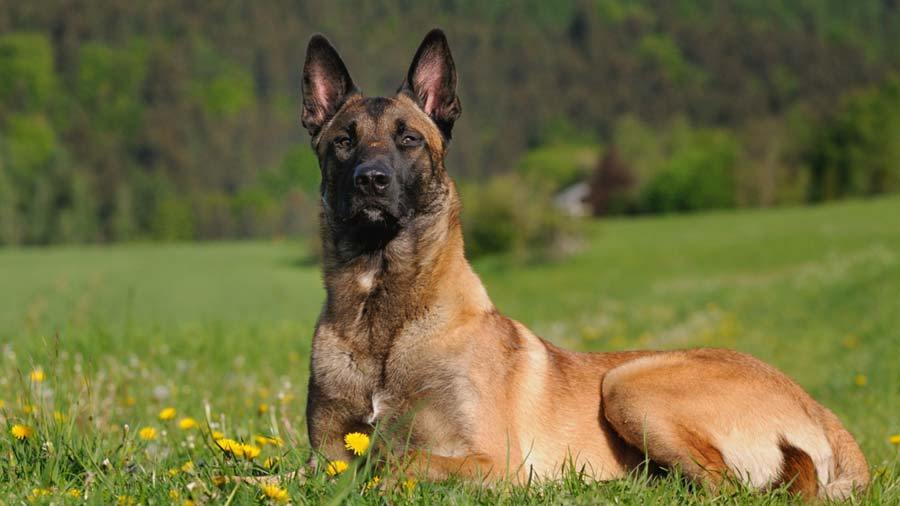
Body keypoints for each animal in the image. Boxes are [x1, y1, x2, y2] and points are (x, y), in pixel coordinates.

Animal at [298, 28, 868, 498]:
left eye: (409, 138)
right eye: (344, 141)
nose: (371, 181)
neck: (384, 315)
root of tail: (818, 408)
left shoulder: (493, 463)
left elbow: (396, 461)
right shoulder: (325, 451)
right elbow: (321, 467)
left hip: (628, 383)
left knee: (724, 485)